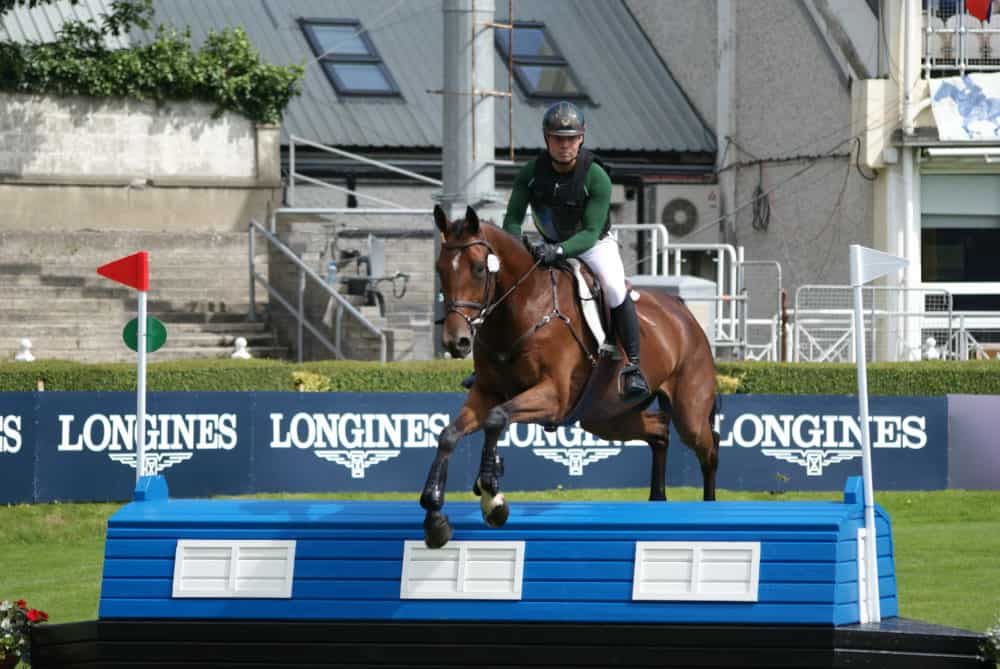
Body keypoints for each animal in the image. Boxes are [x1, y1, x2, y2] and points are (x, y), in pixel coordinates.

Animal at [422, 205, 720, 548]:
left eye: (479, 269)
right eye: (439, 269)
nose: (455, 342)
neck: (523, 307)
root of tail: (682, 314)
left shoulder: (553, 397)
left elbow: (496, 419)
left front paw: (491, 496)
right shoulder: (485, 393)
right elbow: (450, 434)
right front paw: (435, 515)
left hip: (689, 413)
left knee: (709, 448)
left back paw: (710, 507)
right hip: (605, 417)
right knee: (659, 432)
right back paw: (657, 500)